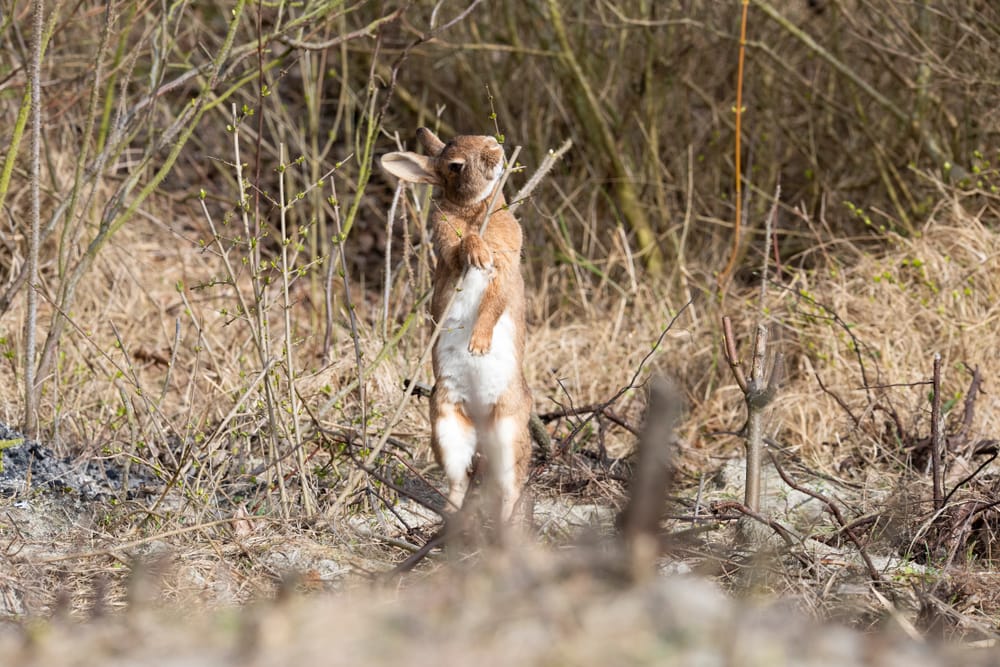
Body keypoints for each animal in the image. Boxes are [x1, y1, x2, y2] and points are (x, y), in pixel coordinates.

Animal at [381, 127, 532, 522]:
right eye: (455, 165)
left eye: (481, 136)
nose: (496, 148)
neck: (475, 209)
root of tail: (479, 418)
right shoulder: (448, 244)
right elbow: (461, 245)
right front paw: (476, 252)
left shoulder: (505, 268)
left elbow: (493, 304)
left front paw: (477, 346)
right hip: (446, 426)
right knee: (459, 481)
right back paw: (449, 519)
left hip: (509, 432)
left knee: (510, 486)